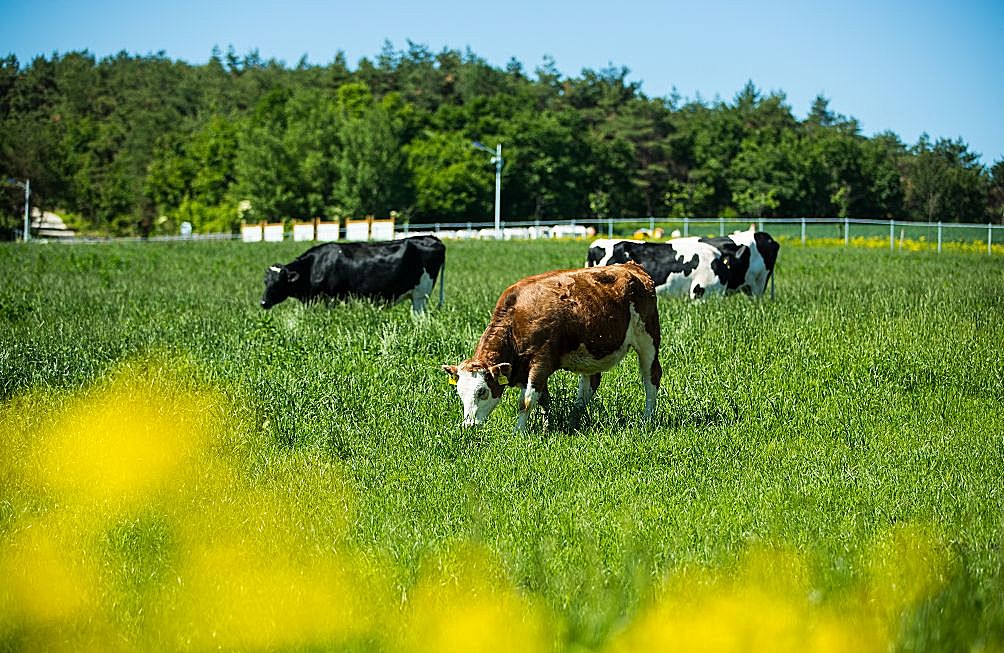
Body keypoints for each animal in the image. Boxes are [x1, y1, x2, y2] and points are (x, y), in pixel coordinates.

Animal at [261, 235, 445, 311]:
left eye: (279, 282)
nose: (263, 302)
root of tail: (431, 237)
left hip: (420, 295)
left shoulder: (332, 298)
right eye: (266, 281)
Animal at [441, 261, 662, 429]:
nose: (468, 426)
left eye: (482, 391)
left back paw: (647, 419)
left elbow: (526, 401)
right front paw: (547, 426)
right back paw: (574, 418)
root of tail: (630, 266)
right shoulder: (527, 369)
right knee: (589, 385)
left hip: (648, 339)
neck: (517, 318)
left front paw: (518, 432)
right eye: (459, 392)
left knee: (650, 377)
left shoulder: (541, 361)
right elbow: (542, 400)